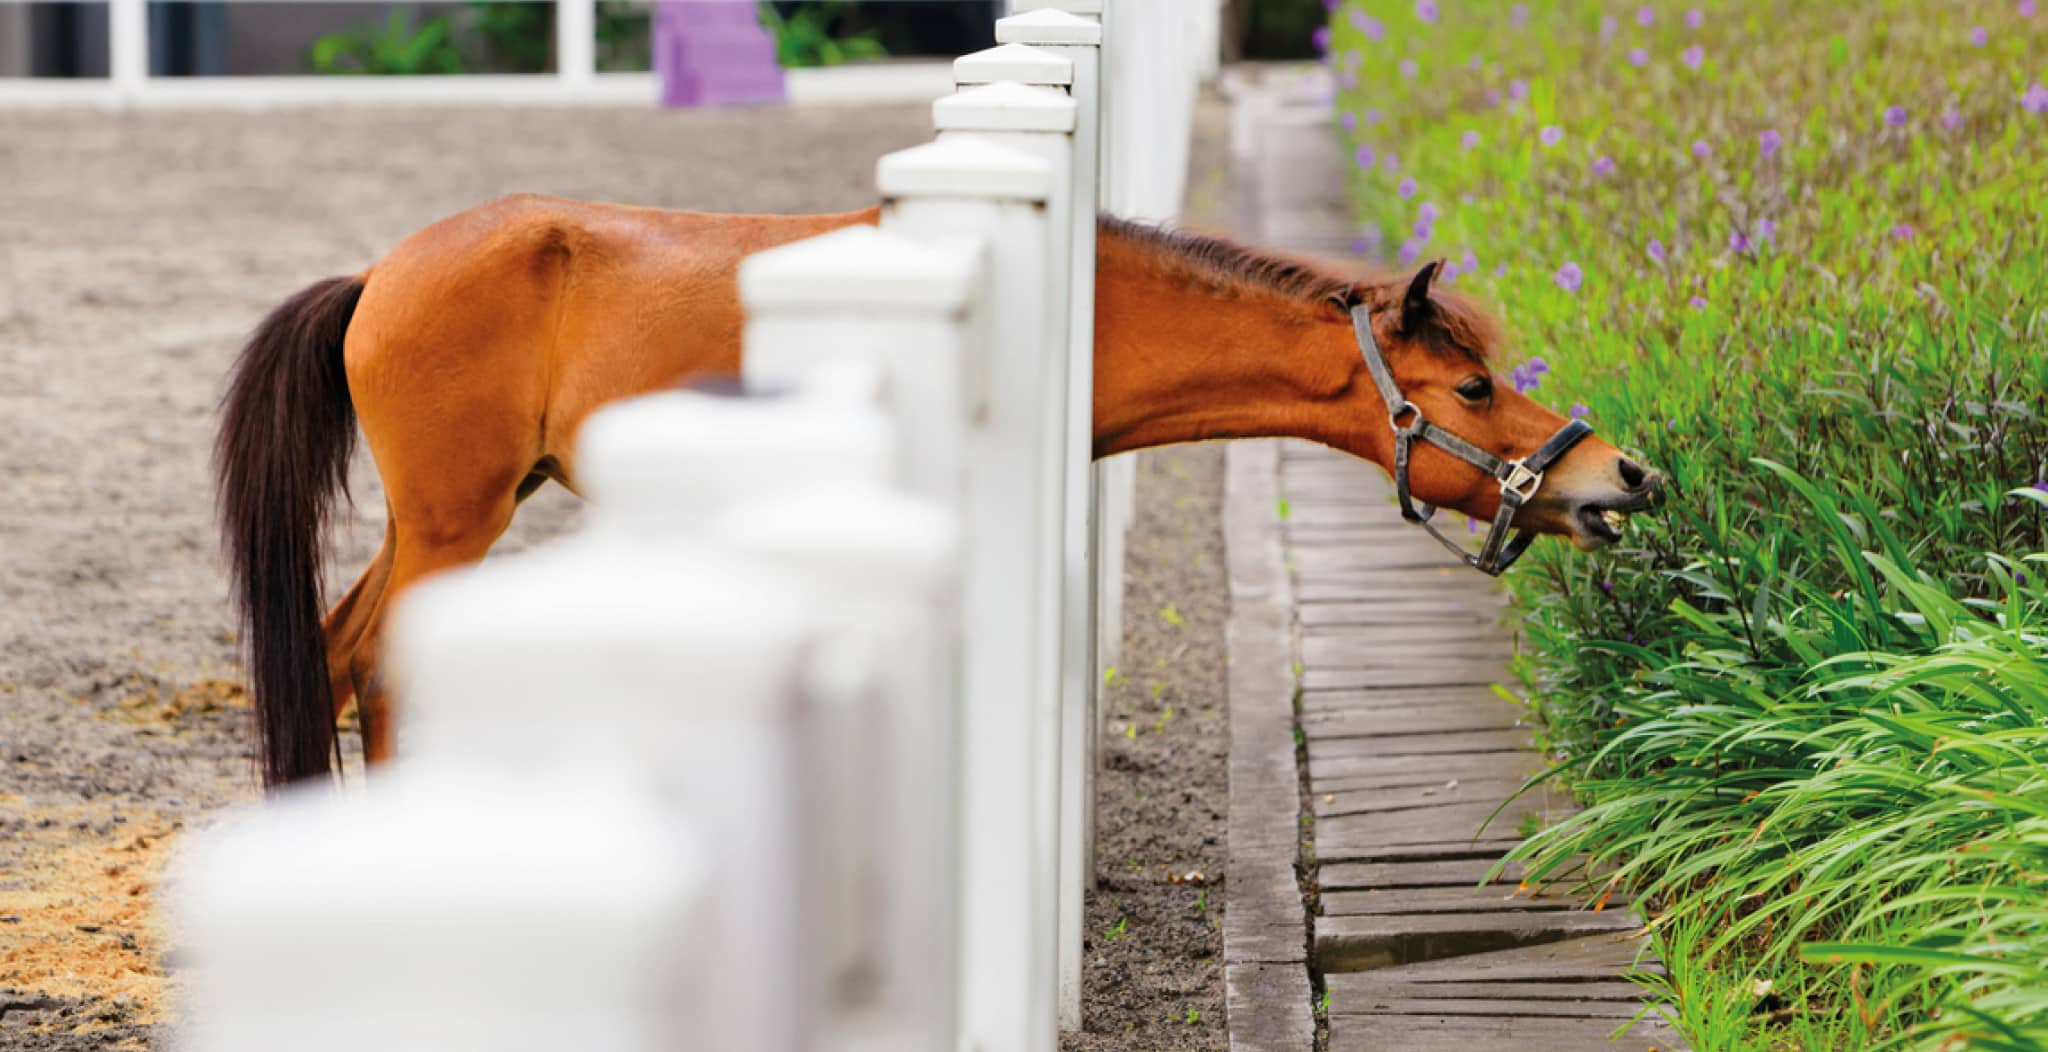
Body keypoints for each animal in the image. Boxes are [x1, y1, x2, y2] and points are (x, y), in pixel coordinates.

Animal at [214, 194, 1663, 789]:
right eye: (1470, 386)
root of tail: (380, 274)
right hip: (454, 519)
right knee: (382, 668)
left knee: (332, 657)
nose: (1622, 474)